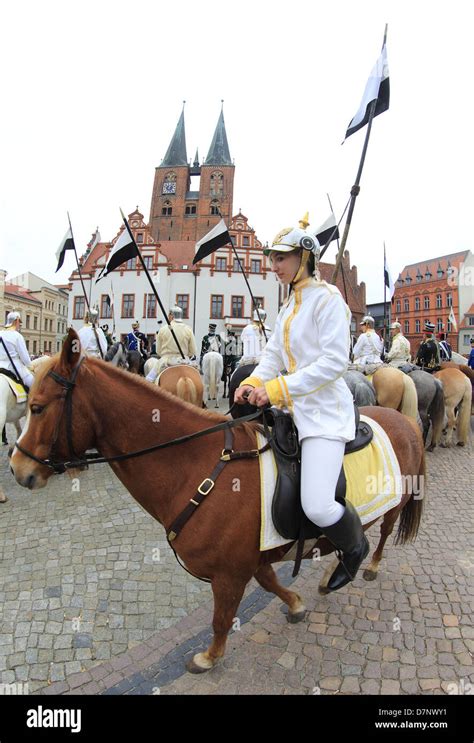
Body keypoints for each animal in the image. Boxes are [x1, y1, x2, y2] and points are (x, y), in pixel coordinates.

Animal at [11, 334, 426, 676]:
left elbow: (221, 617)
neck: (196, 464)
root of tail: (403, 420)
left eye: (38, 407)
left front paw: (209, 657)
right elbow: (271, 582)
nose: (17, 468)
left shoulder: (229, 573)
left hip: (394, 505)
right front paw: (295, 603)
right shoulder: (251, 559)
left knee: (382, 533)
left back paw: (365, 566)